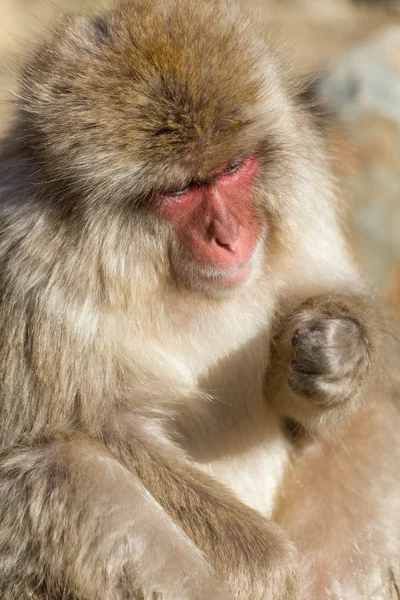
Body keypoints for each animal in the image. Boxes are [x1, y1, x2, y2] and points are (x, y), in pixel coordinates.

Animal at [0, 0, 398, 596]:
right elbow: (95, 428)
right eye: (181, 190)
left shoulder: (304, 185)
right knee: (70, 471)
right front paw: (265, 565)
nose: (229, 236)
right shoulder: (30, 274)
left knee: (375, 420)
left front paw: (338, 356)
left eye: (232, 168)